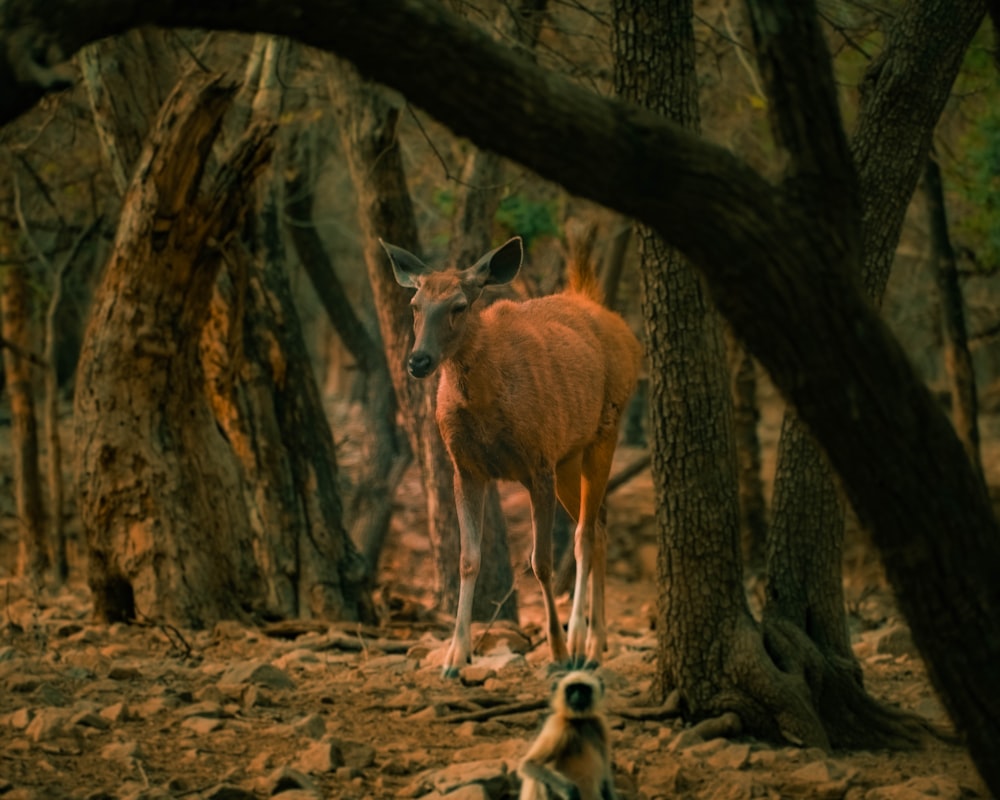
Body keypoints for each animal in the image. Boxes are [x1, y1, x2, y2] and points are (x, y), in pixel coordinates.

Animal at [378, 234, 644, 680]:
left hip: (605, 430)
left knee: (585, 533)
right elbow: (468, 559)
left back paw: (580, 644)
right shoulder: (466, 468)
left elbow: (541, 562)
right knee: (601, 522)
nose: (418, 361)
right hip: (569, 457)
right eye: (415, 305)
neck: (486, 401)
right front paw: (454, 657)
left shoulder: (538, 462)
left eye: (459, 306)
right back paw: (597, 644)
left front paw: (557, 650)